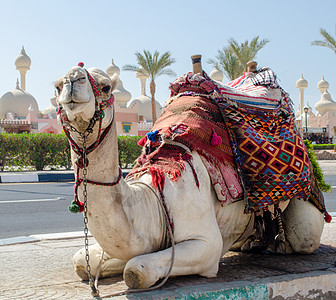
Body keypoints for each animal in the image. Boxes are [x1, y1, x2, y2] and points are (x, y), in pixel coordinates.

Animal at [55, 63, 326, 290]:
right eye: (56, 86)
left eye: (105, 87)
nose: (72, 79)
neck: (153, 200)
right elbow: (82, 262)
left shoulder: (206, 244)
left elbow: (136, 270)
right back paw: (253, 243)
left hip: (305, 203)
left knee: (304, 237)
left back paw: (279, 244)